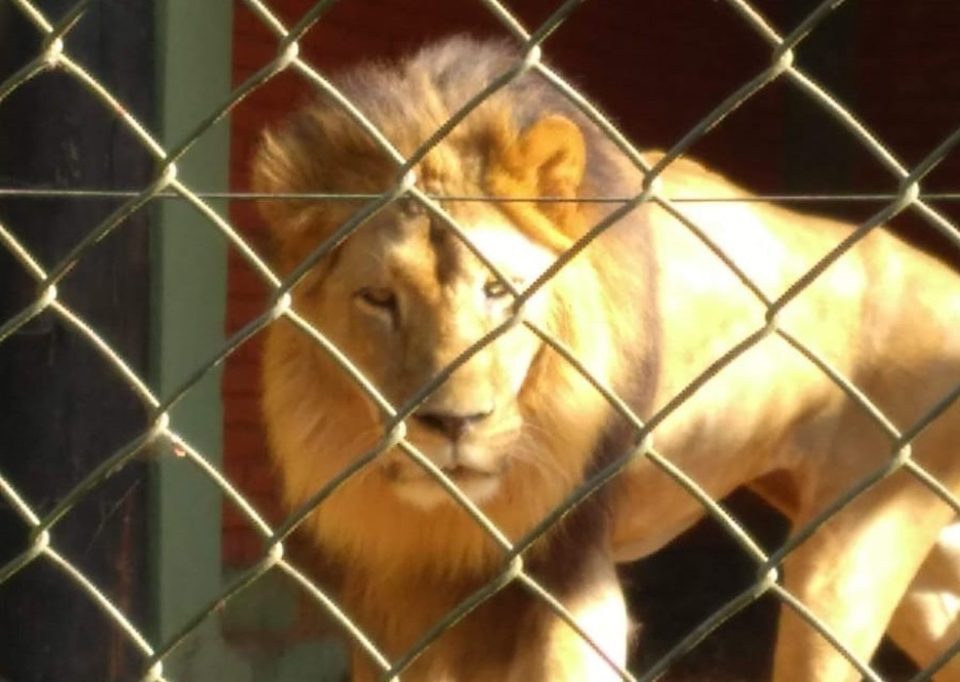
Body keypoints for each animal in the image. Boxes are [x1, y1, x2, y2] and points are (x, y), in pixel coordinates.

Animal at [252, 36, 960, 681]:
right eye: (378, 299)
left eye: (498, 291)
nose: (455, 424)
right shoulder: (394, 588)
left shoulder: (571, 575)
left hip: (846, 556)